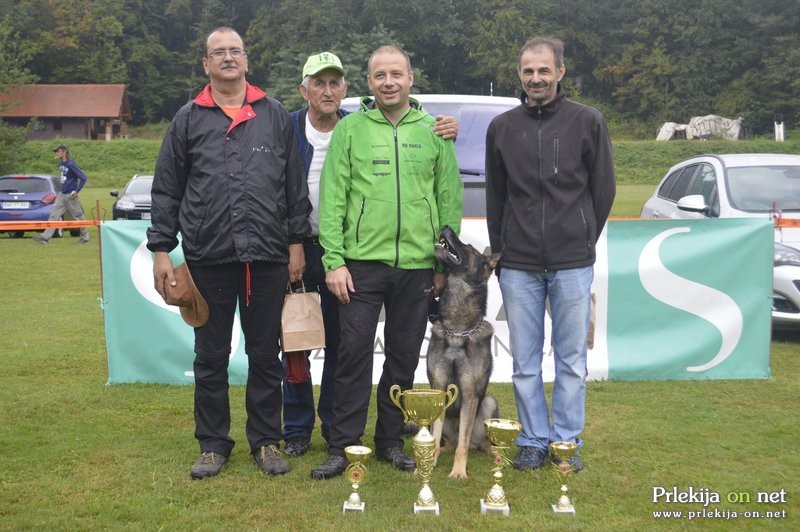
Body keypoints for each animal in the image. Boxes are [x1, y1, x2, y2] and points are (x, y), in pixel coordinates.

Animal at [424, 227, 500, 480]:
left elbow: (463, 445)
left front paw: (458, 470)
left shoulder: (469, 394)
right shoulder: (438, 389)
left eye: (470, 248)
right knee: (447, 440)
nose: (446, 226)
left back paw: (497, 453)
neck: (458, 330)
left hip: (487, 404)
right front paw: (428, 463)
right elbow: (436, 435)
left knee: (476, 442)